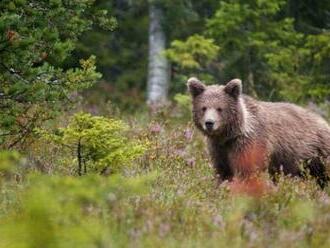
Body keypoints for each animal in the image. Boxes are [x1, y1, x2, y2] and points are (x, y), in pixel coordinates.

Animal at [187, 76, 330, 187]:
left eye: (219, 108)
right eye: (203, 108)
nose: (209, 123)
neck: (230, 135)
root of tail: (323, 121)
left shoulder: (249, 144)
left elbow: (247, 171)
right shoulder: (219, 149)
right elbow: (223, 173)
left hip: (318, 153)